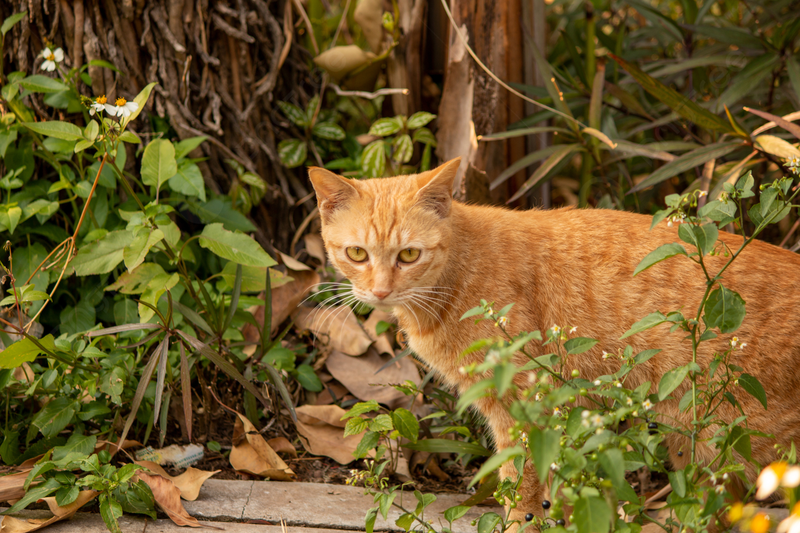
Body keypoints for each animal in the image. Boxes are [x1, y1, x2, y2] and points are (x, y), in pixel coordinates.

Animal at [308, 158, 800, 524]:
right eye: (357, 254)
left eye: (409, 255)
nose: (379, 292)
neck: (456, 275)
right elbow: (560, 488)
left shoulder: (525, 405)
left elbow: (521, 487)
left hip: (733, 443)